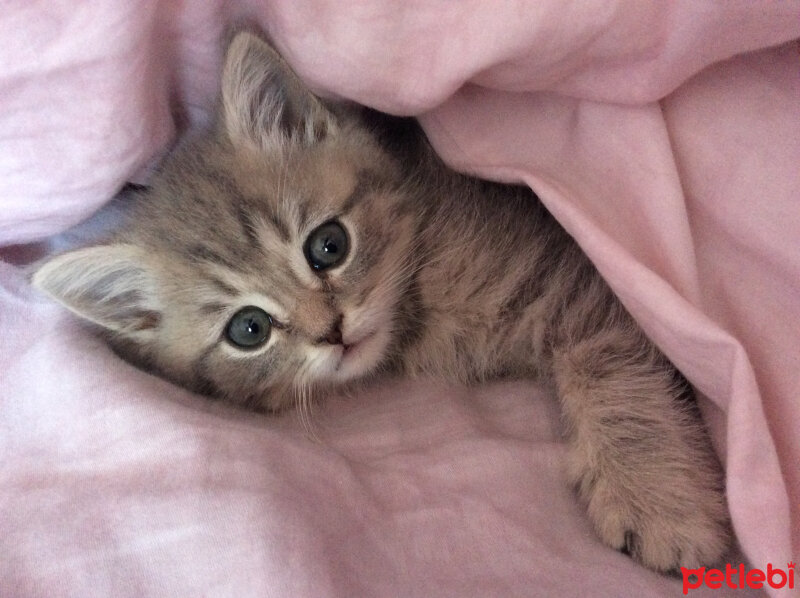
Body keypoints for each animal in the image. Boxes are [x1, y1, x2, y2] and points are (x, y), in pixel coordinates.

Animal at [32, 31, 732, 572]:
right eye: (249, 329)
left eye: (328, 246)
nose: (332, 331)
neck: (418, 310)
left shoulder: (582, 274)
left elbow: (612, 368)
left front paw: (655, 500)